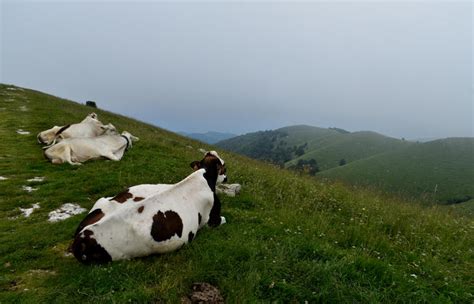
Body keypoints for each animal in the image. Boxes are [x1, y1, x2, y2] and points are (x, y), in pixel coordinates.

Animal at [72, 152, 228, 264]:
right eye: (224, 167)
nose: (226, 178)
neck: (204, 175)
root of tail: (82, 236)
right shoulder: (212, 220)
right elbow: (223, 219)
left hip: (103, 200)